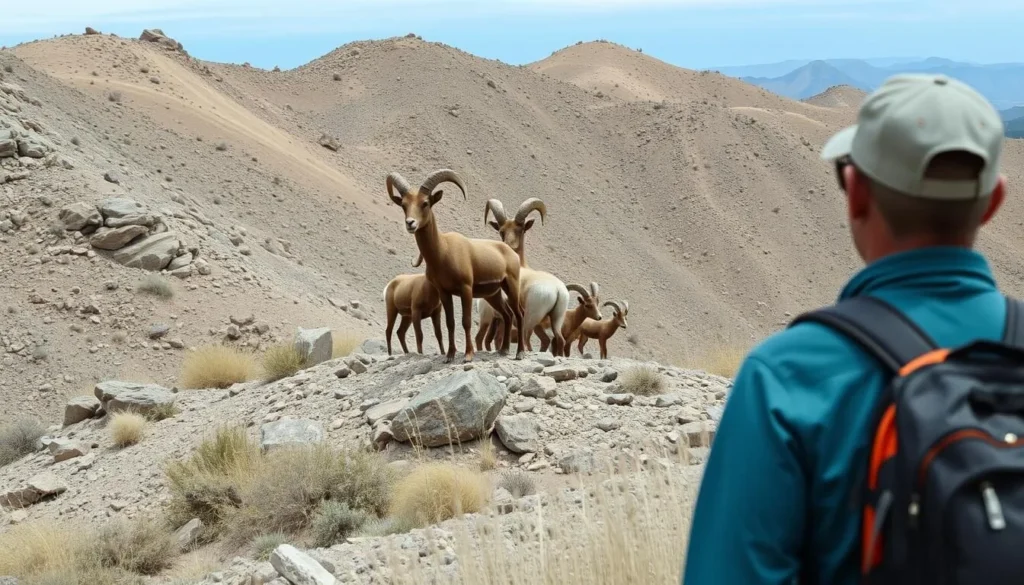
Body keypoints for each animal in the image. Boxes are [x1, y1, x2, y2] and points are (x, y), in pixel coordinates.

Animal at [386, 168, 525, 363]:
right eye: (404, 205)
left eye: (425, 203)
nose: (410, 223)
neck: (443, 252)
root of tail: (511, 253)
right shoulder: (444, 293)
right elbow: (450, 323)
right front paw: (450, 355)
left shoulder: (465, 289)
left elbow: (465, 321)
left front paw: (468, 355)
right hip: (494, 294)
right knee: (508, 314)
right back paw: (504, 350)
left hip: (511, 286)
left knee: (519, 314)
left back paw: (520, 352)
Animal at [474, 197, 569, 356]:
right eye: (502, 231)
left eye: (521, 229)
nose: (509, 246)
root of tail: (557, 290)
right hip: (557, 318)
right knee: (560, 339)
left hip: (527, 317)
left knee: (523, 337)